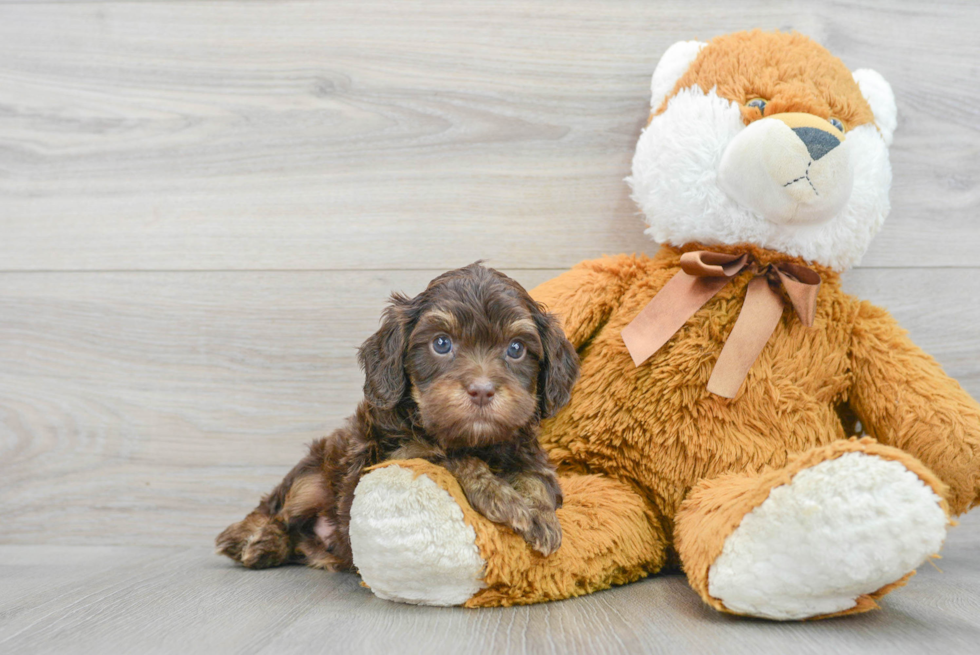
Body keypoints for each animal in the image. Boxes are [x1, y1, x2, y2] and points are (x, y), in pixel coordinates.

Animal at [215, 264, 580, 572]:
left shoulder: (532, 457)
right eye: (441, 343)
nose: (481, 390)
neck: (474, 440)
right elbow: (452, 459)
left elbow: (536, 480)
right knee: (276, 509)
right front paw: (502, 498)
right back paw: (254, 540)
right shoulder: (393, 455)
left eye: (516, 348)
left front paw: (540, 517)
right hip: (313, 476)